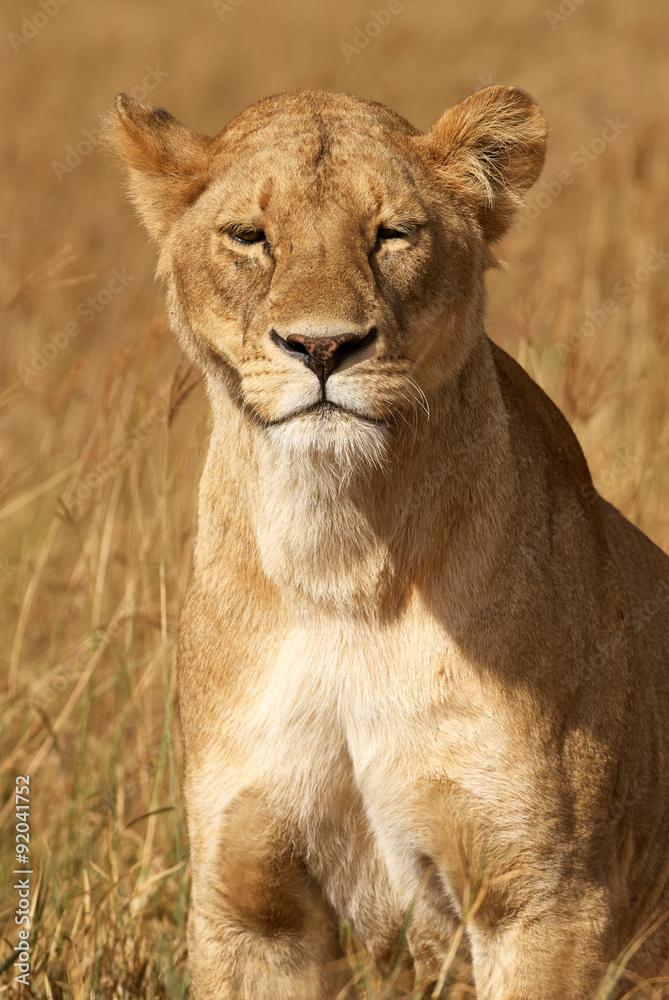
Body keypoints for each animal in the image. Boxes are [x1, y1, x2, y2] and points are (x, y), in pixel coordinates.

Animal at [103, 86, 669, 999]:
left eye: (392, 234)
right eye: (249, 235)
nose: (323, 346)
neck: (338, 563)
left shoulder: (544, 896)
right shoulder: (248, 907)